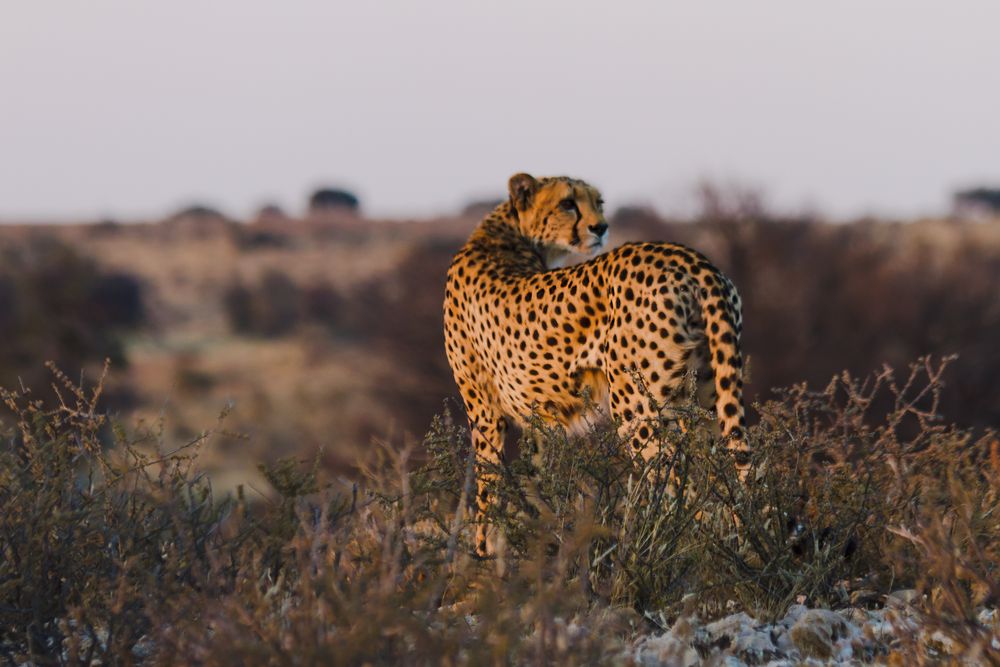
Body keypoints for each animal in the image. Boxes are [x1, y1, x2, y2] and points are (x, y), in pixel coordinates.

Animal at [446, 174, 752, 560]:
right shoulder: (536, 421)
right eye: (567, 203)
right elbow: (533, 480)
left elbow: (488, 487)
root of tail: (690, 259)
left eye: (598, 202)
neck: (506, 234)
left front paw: (482, 555)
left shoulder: (485, 413)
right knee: (727, 479)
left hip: (637, 409)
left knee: (680, 488)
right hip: (708, 399)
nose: (601, 227)